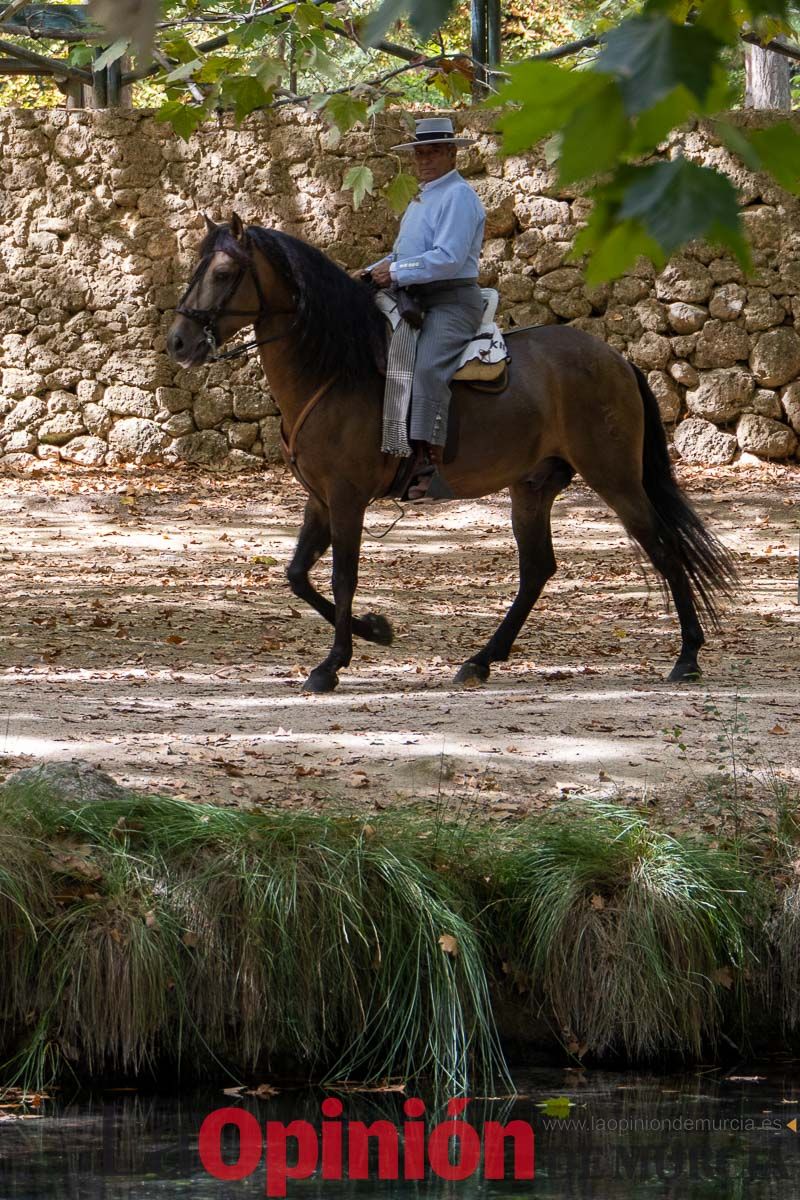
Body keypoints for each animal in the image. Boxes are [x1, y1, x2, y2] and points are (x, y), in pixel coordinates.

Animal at [169, 218, 738, 696]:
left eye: (223, 273)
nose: (178, 343)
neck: (336, 367)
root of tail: (616, 358)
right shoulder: (321, 500)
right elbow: (297, 575)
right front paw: (375, 630)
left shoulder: (347, 498)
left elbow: (342, 576)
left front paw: (333, 663)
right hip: (532, 488)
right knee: (538, 569)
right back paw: (482, 660)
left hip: (614, 477)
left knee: (663, 547)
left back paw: (687, 656)